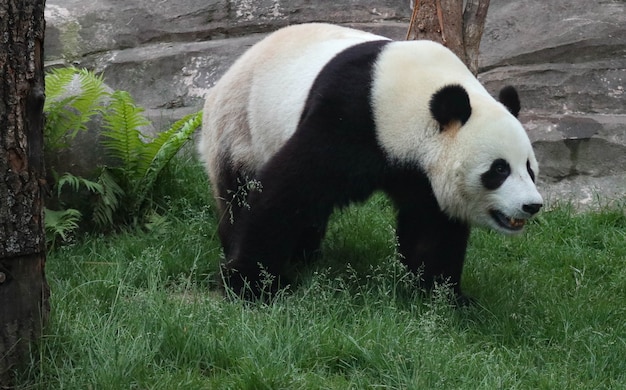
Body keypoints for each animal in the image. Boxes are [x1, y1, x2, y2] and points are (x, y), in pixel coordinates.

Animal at [197, 22, 540, 304]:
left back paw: (305, 254)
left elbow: (432, 227)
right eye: (499, 169)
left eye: (530, 169)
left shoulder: (420, 175)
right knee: (238, 191)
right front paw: (251, 284)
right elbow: (287, 190)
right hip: (238, 125)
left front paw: (442, 296)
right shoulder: (352, 115)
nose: (532, 205)